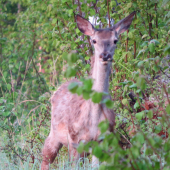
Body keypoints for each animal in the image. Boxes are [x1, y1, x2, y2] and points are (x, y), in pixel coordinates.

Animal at [41, 11, 135, 169]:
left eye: (115, 40)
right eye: (94, 40)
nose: (105, 55)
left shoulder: (104, 138)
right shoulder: (75, 138)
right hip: (55, 132)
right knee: (46, 155)